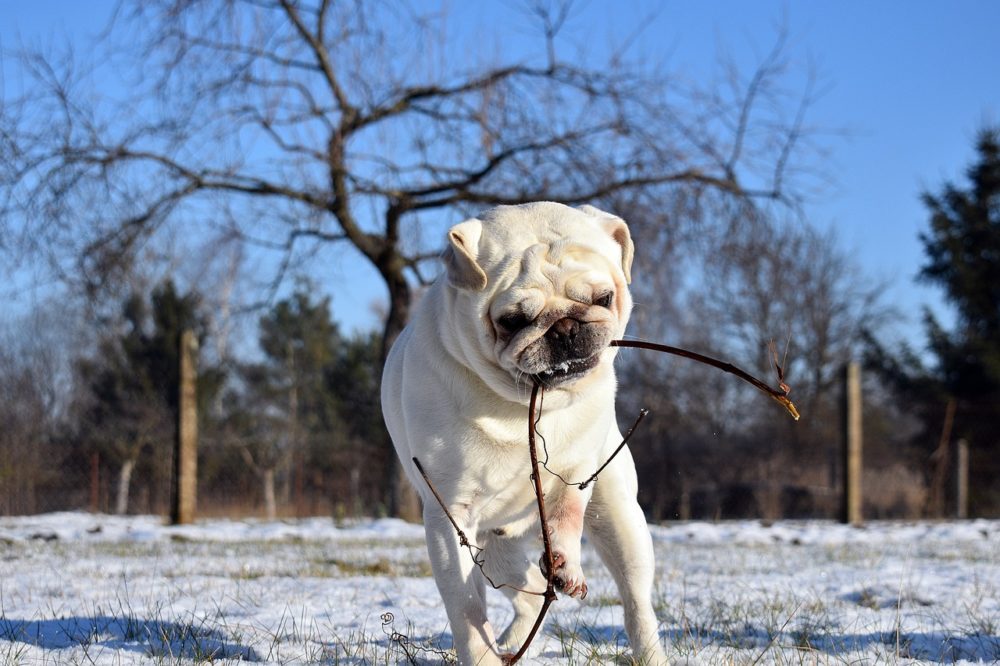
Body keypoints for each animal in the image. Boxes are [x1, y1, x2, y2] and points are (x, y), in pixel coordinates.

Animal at [380, 202, 664, 664]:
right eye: (512, 321)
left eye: (603, 298)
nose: (565, 327)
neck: (521, 404)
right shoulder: (449, 518)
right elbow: (466, 609)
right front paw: (481, 656)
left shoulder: (576, 474)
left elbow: (568, 509)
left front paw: (567, 561)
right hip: (492, 551)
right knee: (528, 592)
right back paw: (513, 642)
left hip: (621, 523)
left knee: (636, 602)